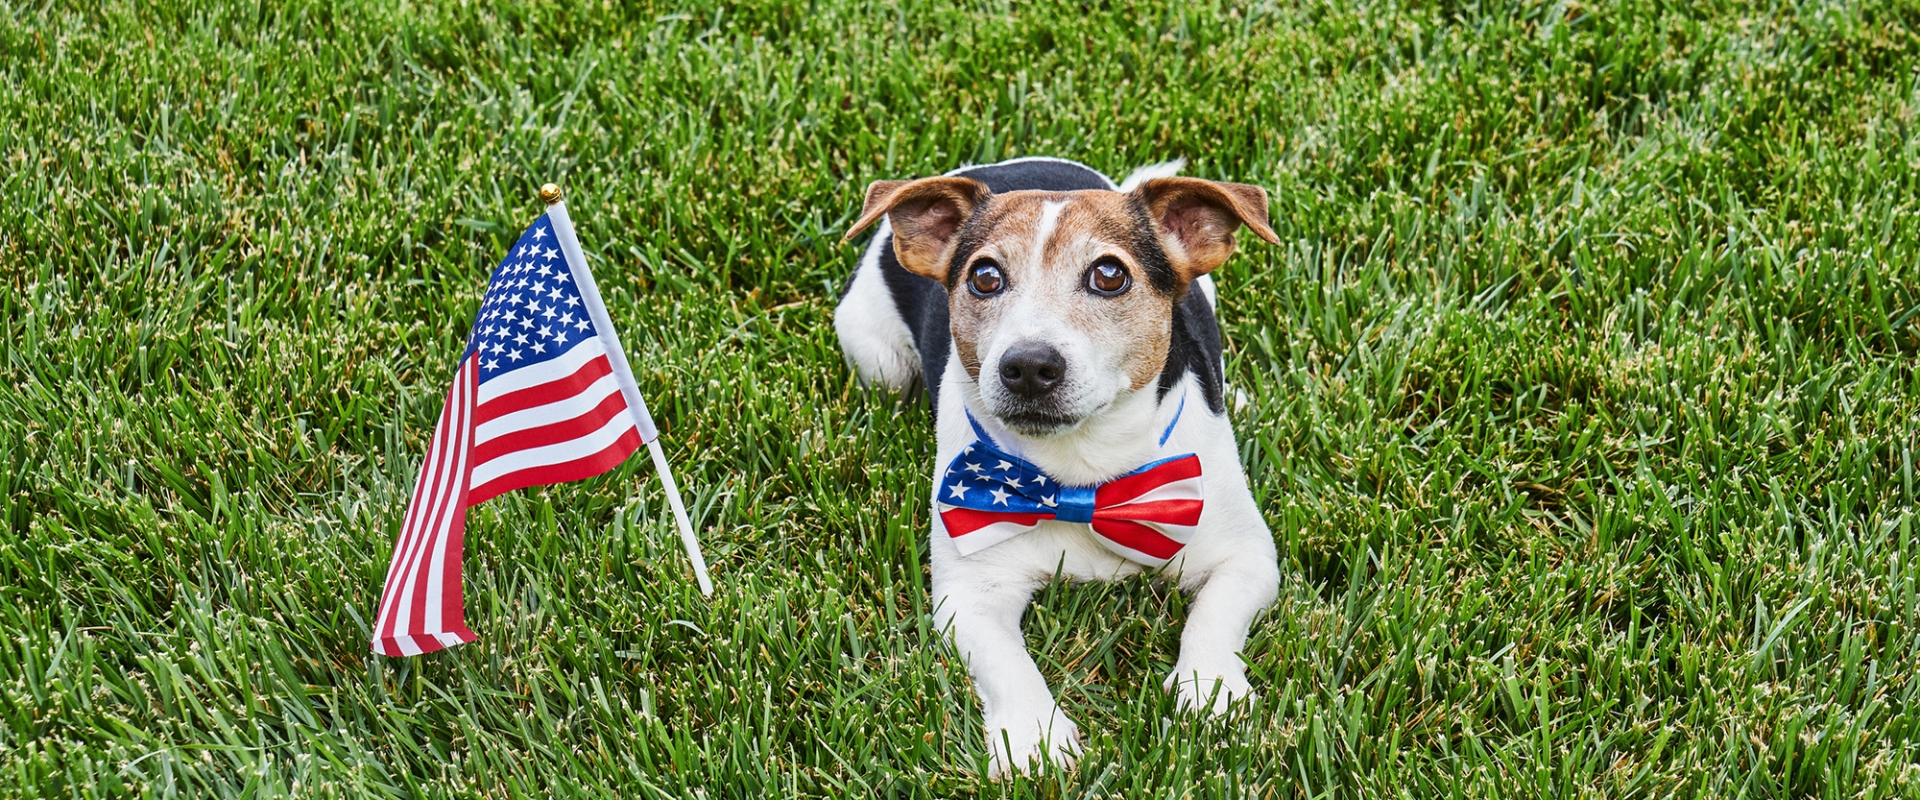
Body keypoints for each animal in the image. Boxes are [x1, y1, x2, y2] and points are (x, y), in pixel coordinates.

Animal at [837, 155, 1274, 775]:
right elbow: (1008, 664)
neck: (1079, 473)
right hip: (876, 358)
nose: (1027, 365)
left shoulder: (1247, 556)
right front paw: (1033, 734)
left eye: (1110, 275)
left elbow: (1215, 616)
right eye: (985, 277)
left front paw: (1209, 692)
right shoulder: (969, 593)